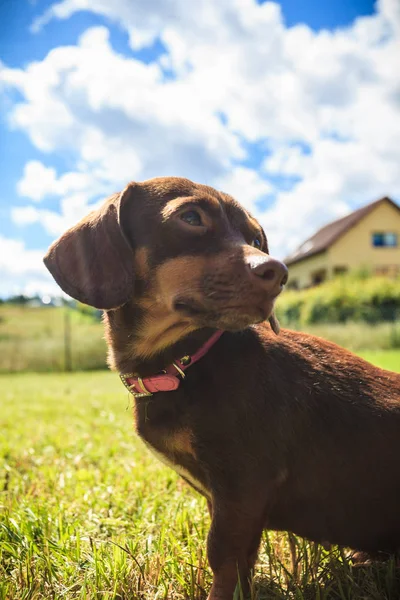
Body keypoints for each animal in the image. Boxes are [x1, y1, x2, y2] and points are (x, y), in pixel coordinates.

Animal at [43, 178, 400, 600]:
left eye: (257, 239)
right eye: (190, 217)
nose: (278, 273)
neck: (185, 363)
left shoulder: (243, 483)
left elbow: (223, 557)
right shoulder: (229, 498)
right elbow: (239, 560)